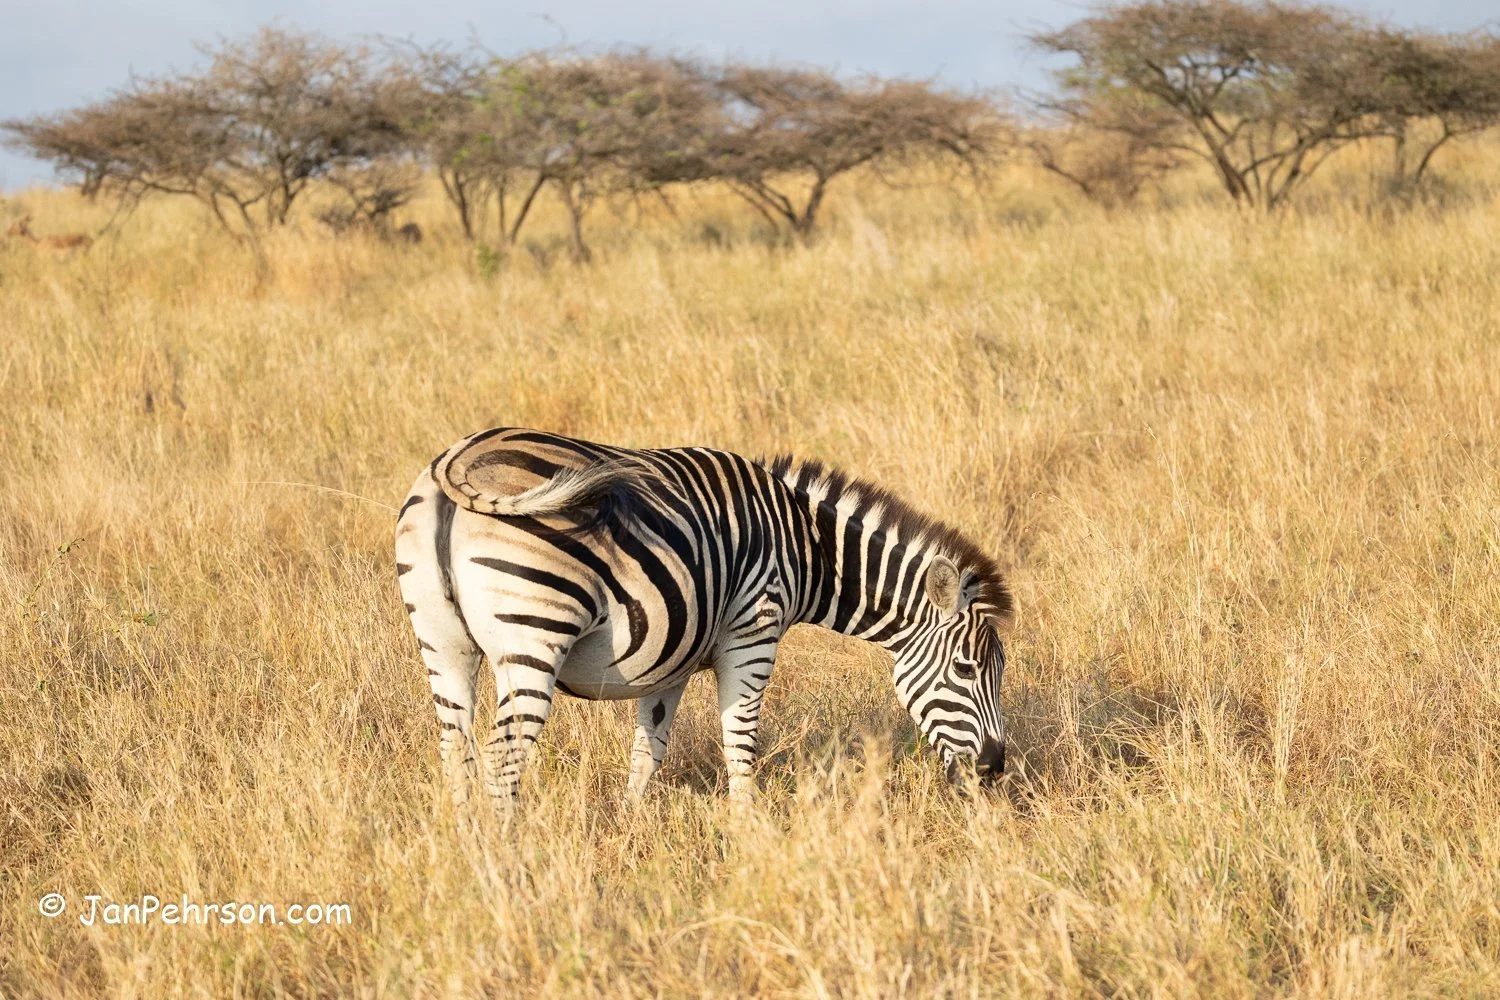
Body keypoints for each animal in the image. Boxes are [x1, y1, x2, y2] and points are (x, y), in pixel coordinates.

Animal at [395, 427, 1013, 804]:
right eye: (966, 669)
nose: (995, 767)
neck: (808, 546)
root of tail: (459, 457)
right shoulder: (752, 634)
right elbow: (740, 746)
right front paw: (750, 839)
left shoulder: (669, 657)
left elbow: (648, 753)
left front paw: (630, 833)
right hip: (534, 637)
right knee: (502, 759)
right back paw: (505, 866)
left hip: (442, 644)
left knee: (455, 750)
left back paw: (470, 852)